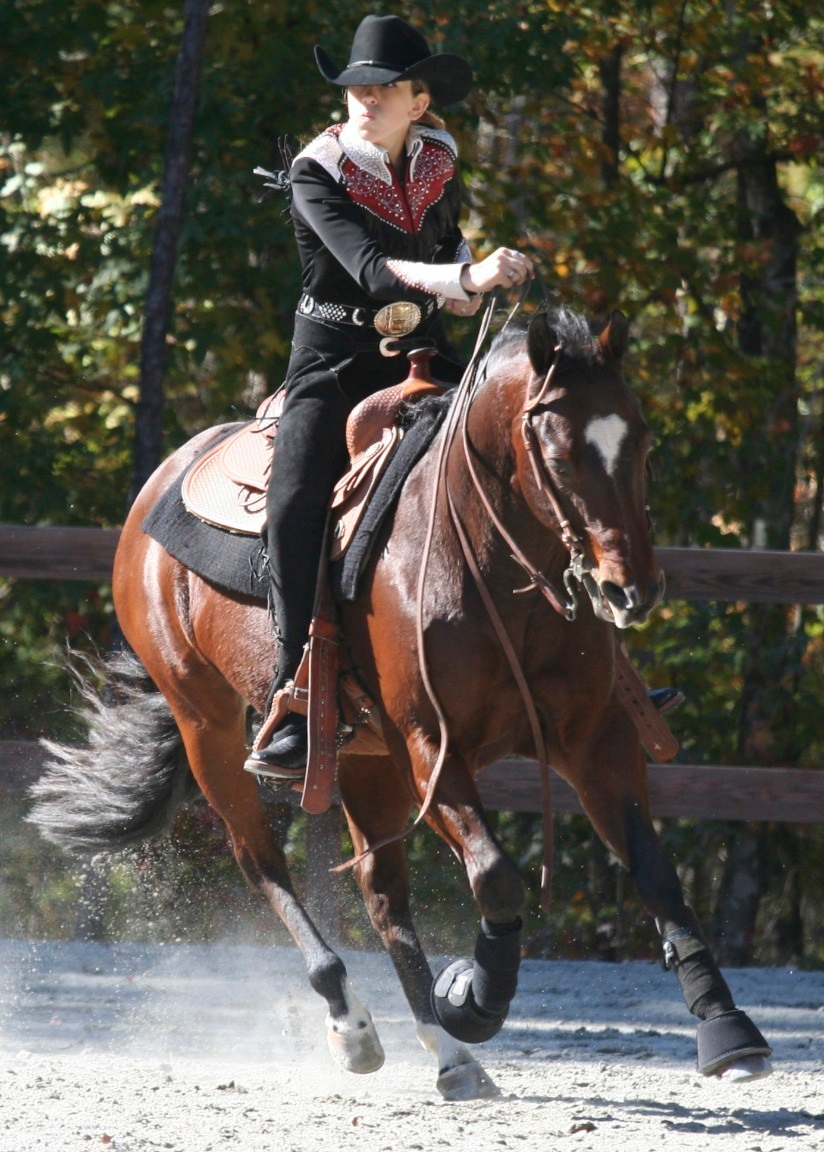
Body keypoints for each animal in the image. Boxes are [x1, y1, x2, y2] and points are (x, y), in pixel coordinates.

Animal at [27, 306, 774, 1096]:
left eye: (642, 445)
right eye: (562, 457)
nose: (630, 590)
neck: (489, 567)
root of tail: (161, 484)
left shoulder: (594, 740)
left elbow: (656, 873)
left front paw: (729, 1032)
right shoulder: (431, 750)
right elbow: (496, 876)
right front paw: (473, 999)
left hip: (361, 759)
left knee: (381, 896)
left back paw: (449, 1055)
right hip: (210, 727)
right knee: (261, 860)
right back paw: (355, 1024)